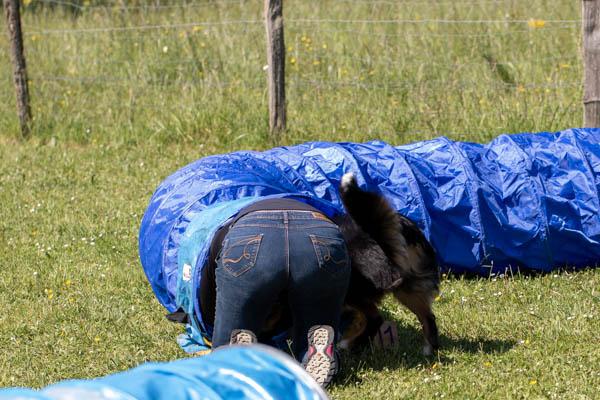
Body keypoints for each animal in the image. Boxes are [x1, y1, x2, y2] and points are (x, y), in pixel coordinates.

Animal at [338, 173, 440, 354]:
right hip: (408, 287)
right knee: (428, 317)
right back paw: (428, 350)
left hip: (354, 288)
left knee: (375, 319)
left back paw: (347, 345)